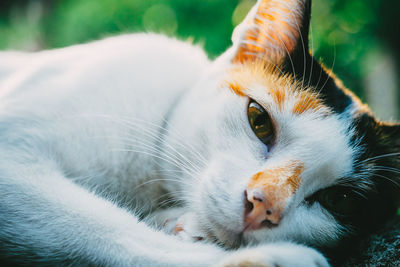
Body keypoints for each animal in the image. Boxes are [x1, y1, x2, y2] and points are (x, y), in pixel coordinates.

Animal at [0, 0, 398, 266]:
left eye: (340, 200)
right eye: (259, 120)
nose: (262, 205)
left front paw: (180, 224)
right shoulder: (13, 164)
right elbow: (106, 230)